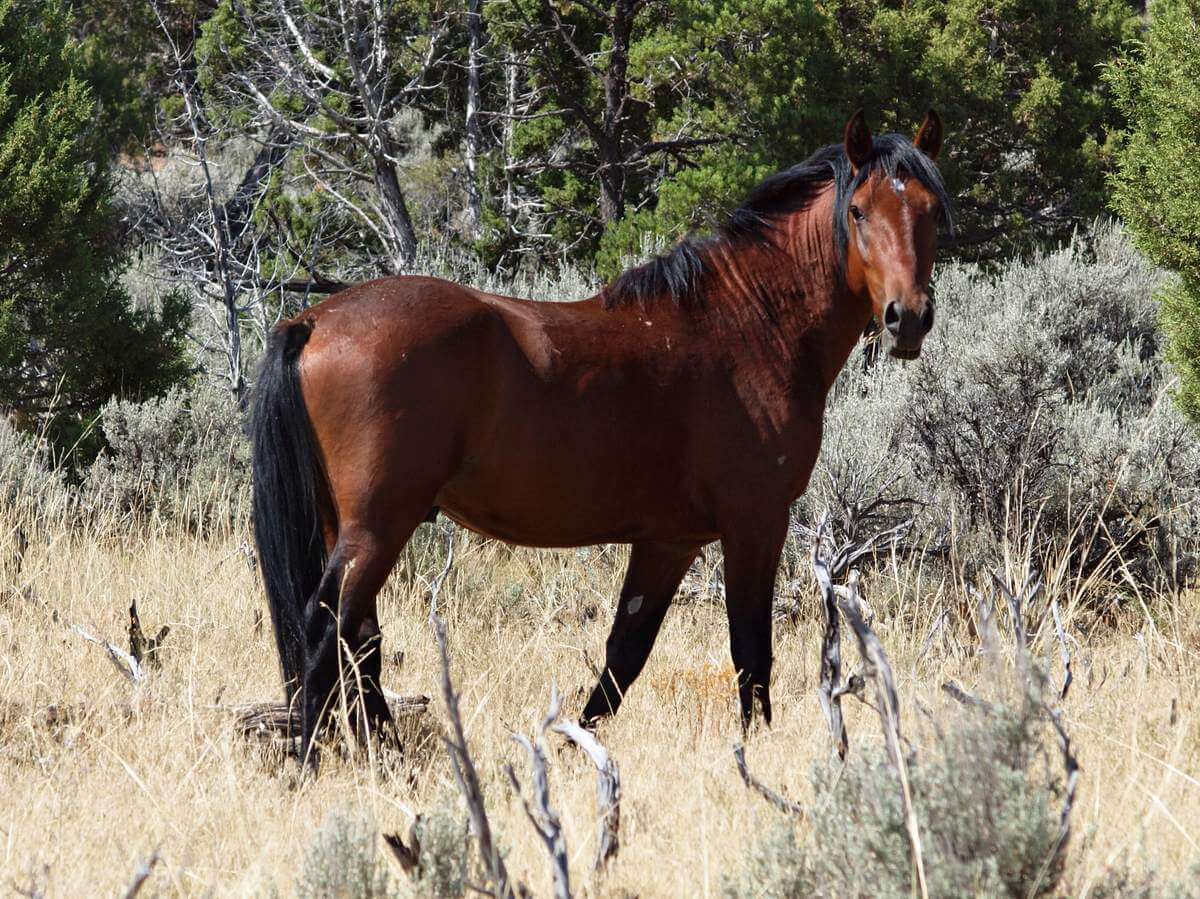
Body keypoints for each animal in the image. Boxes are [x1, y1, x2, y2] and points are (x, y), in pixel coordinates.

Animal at [253, 108, 955, 763]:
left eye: (929, 213)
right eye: (858, 212)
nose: (909, 319)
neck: (749, 326)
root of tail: (314, 320)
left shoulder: (669, 542)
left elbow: (625, 654)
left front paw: (574, 744)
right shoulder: (757, 523)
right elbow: (750, 650)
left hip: (348, 525)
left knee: (358, 639)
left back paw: (385, 753)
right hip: (379, 524)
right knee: (326, 629)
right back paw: (310, 759)